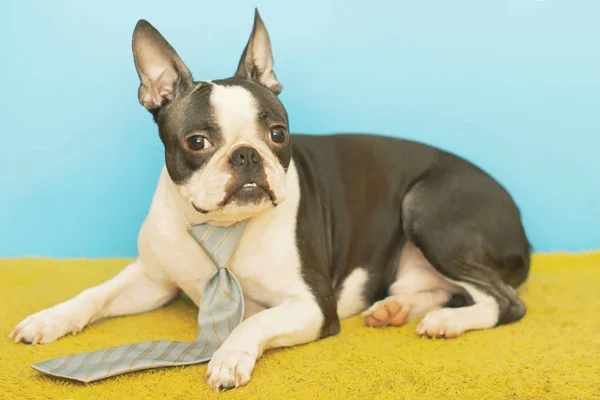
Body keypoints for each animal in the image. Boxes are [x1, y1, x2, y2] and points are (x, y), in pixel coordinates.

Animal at [10, 8, 528, 390]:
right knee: (438, 287)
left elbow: (250, 323)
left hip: (423, 208)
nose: (246, 154)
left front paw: (228, 356)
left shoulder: (313, 305)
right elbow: (94, 294)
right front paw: (48, 320)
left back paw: (449, 322)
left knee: (504, 303)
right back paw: (394, 309)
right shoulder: (151, 280)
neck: (221, 230)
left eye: (277, 134)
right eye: (197, 142)